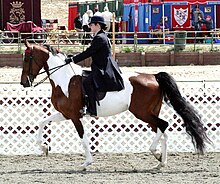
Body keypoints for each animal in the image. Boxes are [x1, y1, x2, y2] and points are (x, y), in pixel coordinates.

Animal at [21, 40, 211, 170]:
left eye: (26, 58)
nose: (24, 83)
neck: (65, 79)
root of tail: (154, 76)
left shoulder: (74, 116)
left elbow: (83, 139)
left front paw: (86, 163)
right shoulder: (66, 114)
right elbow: (42, 123)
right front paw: (44, 148)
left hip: (141, 112)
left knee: (163, 125)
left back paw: (155, 154)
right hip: (150, 113)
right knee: (162, 131)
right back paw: (160, 161)